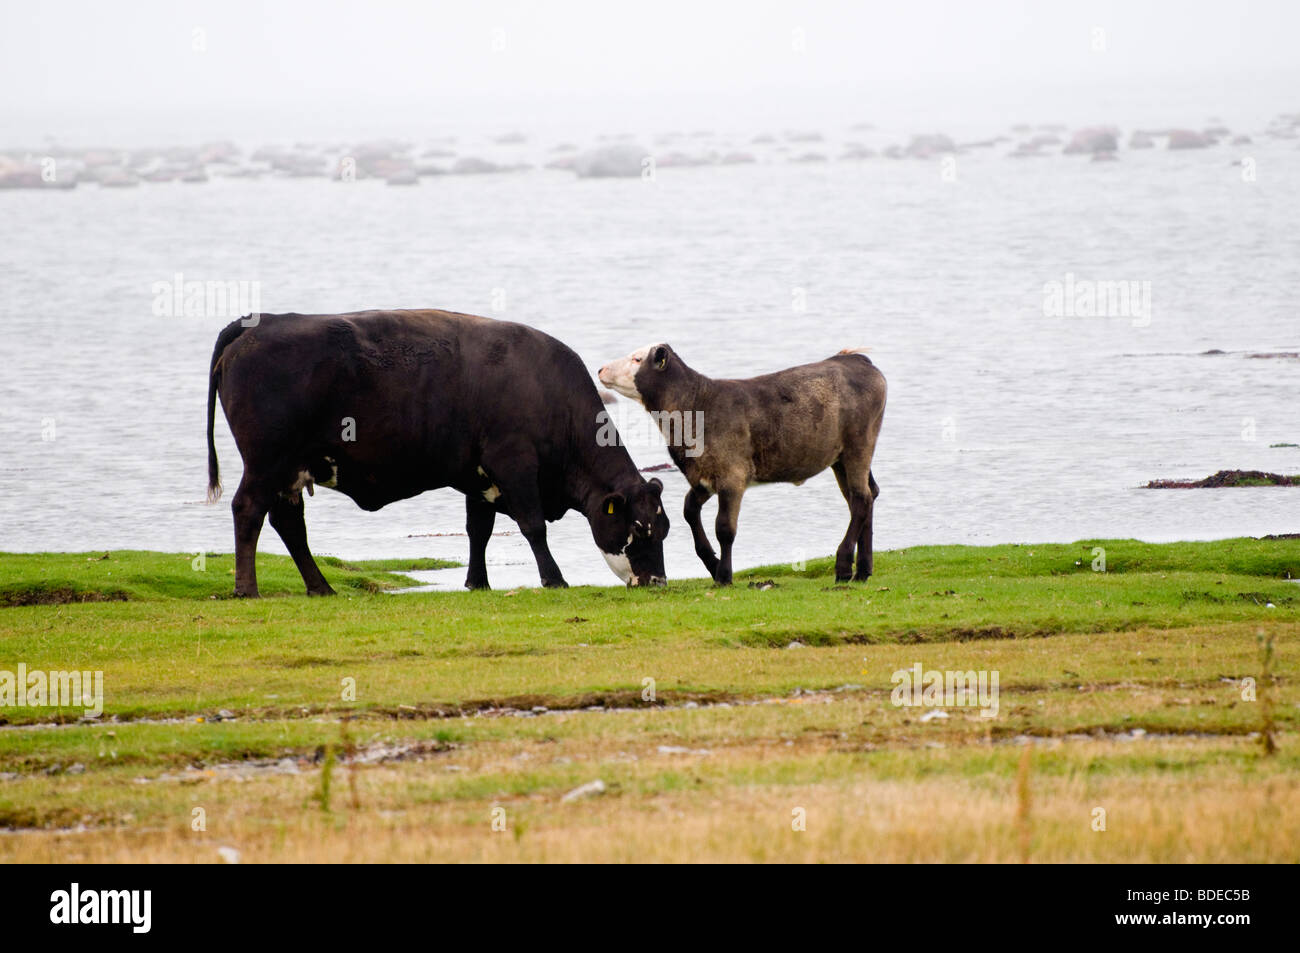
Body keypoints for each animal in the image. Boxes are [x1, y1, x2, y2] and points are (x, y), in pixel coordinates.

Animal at [206, 310, 669, 596]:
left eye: (664, 529)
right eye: (639, 529)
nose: (658, 582)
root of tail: (260, 322)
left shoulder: (479, 477)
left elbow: (478, 530)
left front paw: (477, 582)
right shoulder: (513, 464)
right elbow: (533, 526)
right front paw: (554, 579)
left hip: (290, 469)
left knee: (289, 524)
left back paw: (321, 586)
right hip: (266, 463)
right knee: (249, 510)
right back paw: (247, 589)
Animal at [598, 344, 885, 585]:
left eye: (637, 359)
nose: (601, 369)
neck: (697, 406)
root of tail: (855, 359)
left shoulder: (732, 475)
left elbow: (724, 528)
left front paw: (724, 576)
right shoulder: (703, 476)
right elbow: (689, 510)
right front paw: (712, 564)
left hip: (859, 446)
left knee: (861, 499)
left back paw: (844, 566)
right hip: (841, 458)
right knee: (866, 496)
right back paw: (863, 570)